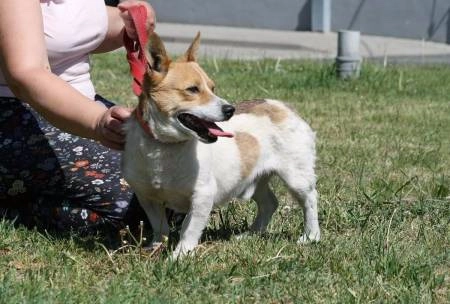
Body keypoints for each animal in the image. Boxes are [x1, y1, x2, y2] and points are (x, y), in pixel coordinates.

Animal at [122, 32, 320, 256]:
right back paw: (251, 234)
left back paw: (311, 236)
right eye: (192, 89)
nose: (230, 109)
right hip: (255, 178)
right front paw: (156, 246)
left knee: (310, 200)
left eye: (212, 87)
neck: (165, 146)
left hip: (296, 177)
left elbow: (188, 230)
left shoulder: (202, 197)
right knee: (269, 203)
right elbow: (160, 226)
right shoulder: (147, 197)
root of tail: (283, 106)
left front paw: (179, 255)